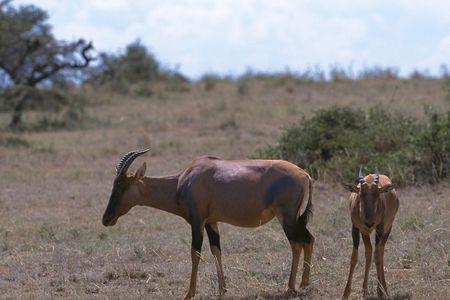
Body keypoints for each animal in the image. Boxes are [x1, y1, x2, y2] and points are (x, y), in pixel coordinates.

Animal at [101, 149, 314, 298]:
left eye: (121, 185)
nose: (106, 219)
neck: (183, 179)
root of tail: (305, 175)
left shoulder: (197, 222)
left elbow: (195, 254)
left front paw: (188, 294)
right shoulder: (212, 222)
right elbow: (216, 251)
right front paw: (222, 290)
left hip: (286, 218)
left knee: (296, 244)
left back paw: (289, 287)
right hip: (296, 219)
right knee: (309, 239)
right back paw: (304, 283)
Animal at [342, 169, 400, 298]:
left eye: (377, 194)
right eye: (360, 194)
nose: (369, 222)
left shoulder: (380, 228)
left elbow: (377, 257)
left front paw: (380, 293)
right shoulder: (356, 228)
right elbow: (354, 258)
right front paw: (345, 294)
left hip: (387, 229)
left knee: (380, 252)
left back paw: (384, 289)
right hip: (365, 232)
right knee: (369, 252)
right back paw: (365, 290)